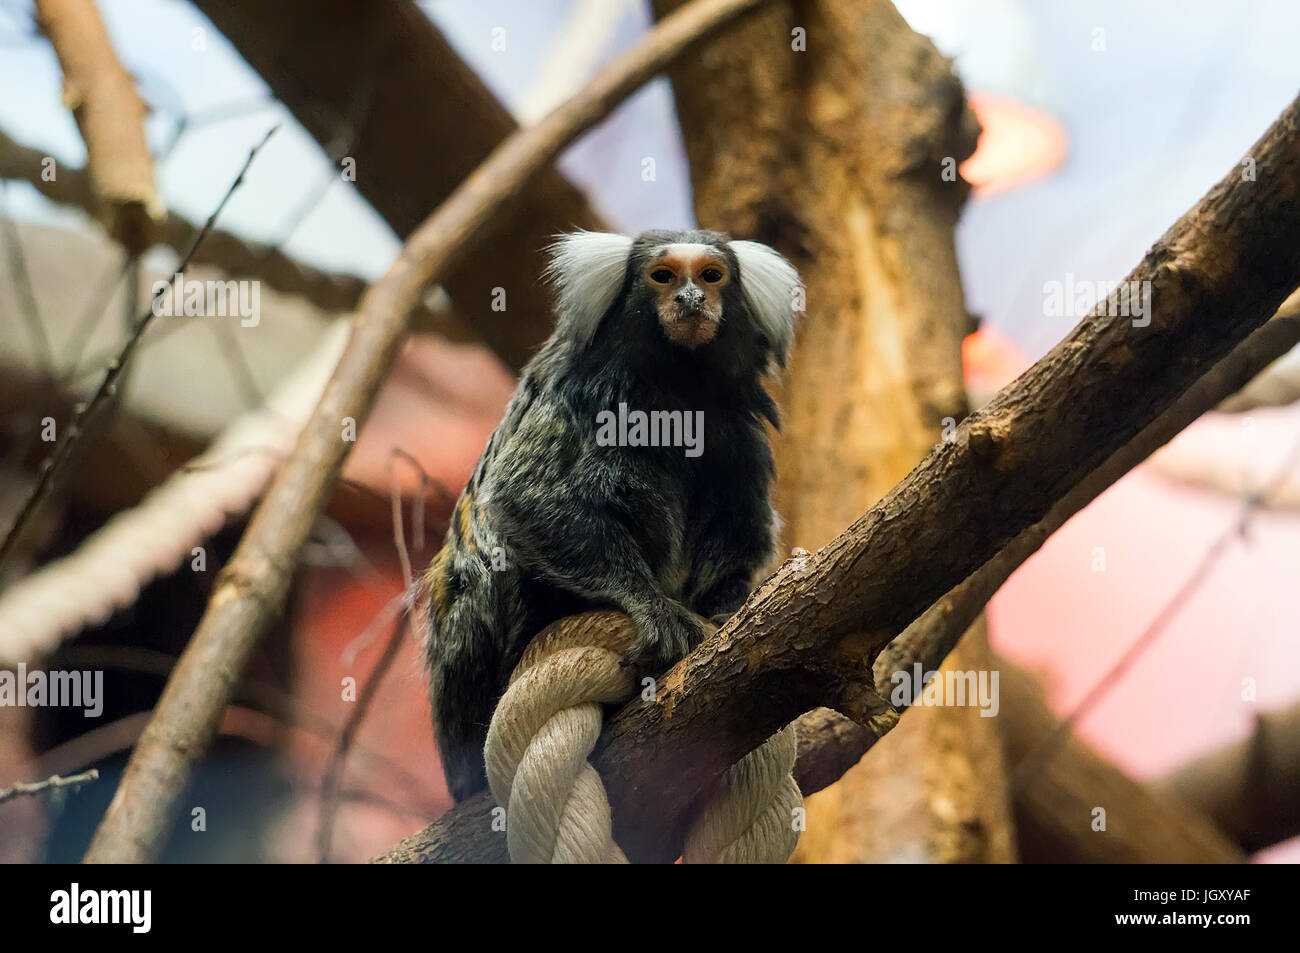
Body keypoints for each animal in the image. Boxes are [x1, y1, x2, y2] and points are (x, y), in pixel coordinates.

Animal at [424, 228, 802, 802]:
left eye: (711, 276)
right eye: (662, 276)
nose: (690, 299)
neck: (679, 389)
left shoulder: (739, 429)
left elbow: (742, 533)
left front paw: (725, 610)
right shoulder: (582, 391)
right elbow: (523, 496)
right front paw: (653, 607)